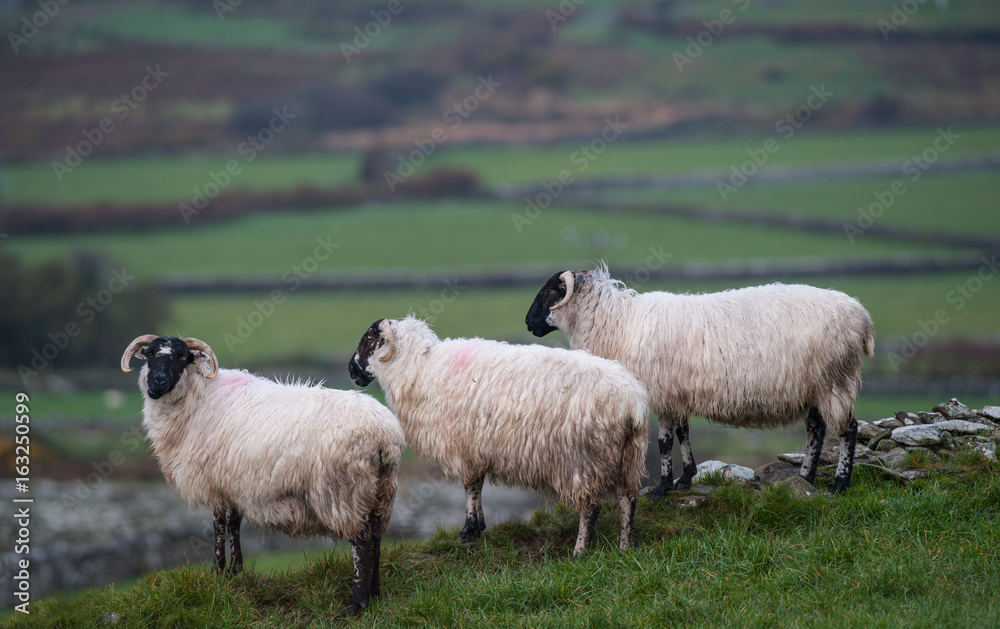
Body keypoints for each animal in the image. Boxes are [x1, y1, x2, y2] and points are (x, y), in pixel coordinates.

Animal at [121, 334, 406, 612]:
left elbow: (218, 525)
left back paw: (357, 604)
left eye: (182, 357)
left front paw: (217, 572)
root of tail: (384, 435)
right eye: (150, 354)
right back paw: (376, 594)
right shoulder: (233, 482)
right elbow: (234, 523)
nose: (157, 383)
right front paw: (235, 571)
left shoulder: (213, 482)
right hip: (380, 490)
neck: (199, 397)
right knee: (376, 538)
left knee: (362, 543)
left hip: (343, 491)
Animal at [348, 316, 652, 556]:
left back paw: (579, 552)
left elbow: (471, 486)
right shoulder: (476, 445)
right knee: (628, 500)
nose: (351, 369)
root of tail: (632, 403)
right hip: (628, 456)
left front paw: (469, 530)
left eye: (369, 339)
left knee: (591, 507)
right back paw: (625, 548)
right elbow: (478, 484)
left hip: (584, 459)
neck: (418, 367)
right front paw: (478, 526)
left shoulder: (463, 447)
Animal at [528, 264, 872, 496]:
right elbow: (683, 433)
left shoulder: (662, 392)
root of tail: (862, 316)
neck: (616, 324)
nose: (528, 322)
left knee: (848, 429)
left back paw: (840, 483)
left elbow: (664, 441)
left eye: (551, 291)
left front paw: (663, 487)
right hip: (816, 386)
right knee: (817, 429)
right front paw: (685, 478)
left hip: (835, 379)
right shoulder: (678, 393)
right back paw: (805, 478)